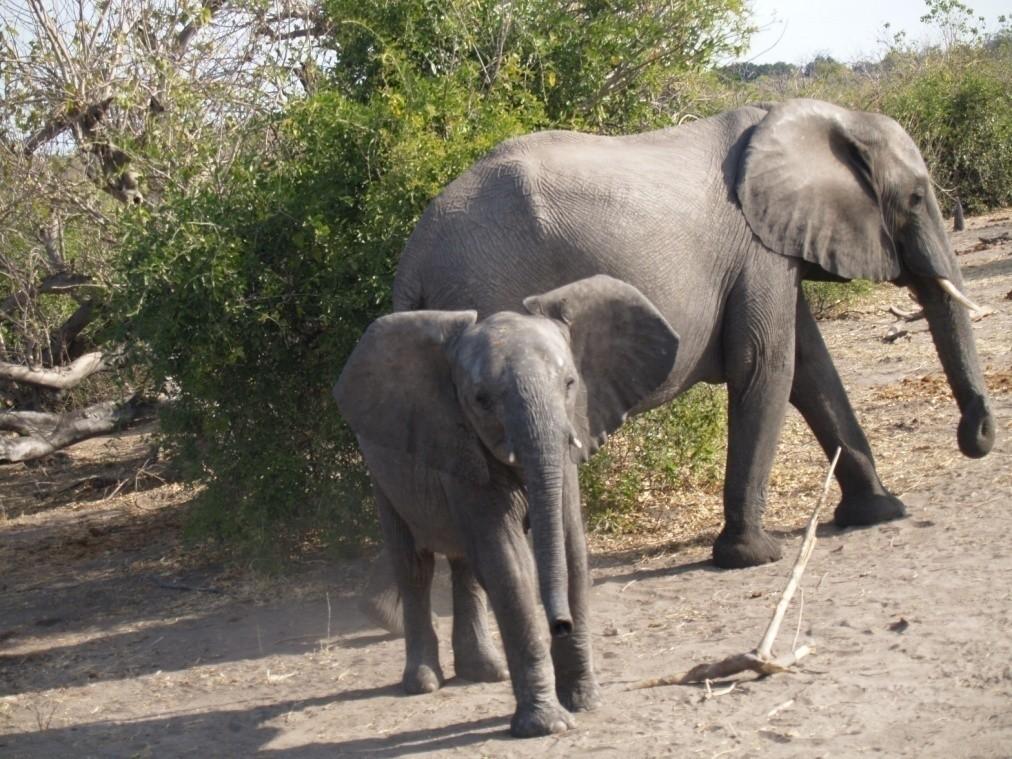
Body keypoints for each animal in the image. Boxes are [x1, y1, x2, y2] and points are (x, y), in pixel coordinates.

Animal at [333, 277, 680, 740]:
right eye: (480, 400)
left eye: (570, 383)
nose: (560, 623)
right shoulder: (459, 441)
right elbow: (509, 563)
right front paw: (548, 725)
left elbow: (571, 551)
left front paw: (585, 702)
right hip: (380, 466)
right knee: (415, 564)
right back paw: (424, 683)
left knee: (464, 564)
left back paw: (484, 672)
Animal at [386, 98, 995, 570]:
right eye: (915, 198)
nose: (978, 437)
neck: (823, 116)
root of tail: (413, 257)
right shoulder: (756, 251)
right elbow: (768, 363)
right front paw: (752, 557)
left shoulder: (770, 251)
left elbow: (810, 365)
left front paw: (880, 513)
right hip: (494, 296)